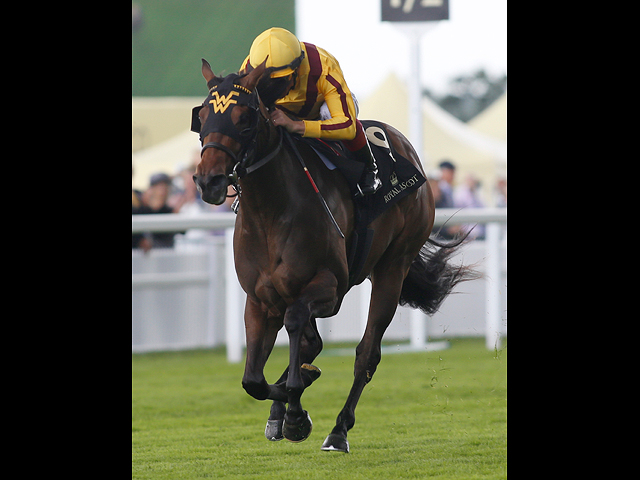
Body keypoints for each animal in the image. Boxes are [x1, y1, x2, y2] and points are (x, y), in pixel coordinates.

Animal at [192, 58, 478, 452]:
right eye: (202, 115)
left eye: (244, 118)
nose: (210, 181)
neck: (270, 213)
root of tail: (405, 145)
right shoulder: (260, 299)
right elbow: (253, 379)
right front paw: (288, 403)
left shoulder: (329, 287)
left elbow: (298, 327)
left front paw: (297, 412)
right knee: (312, 344)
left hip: (393, 267)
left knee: (366, 353)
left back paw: (338, 429)